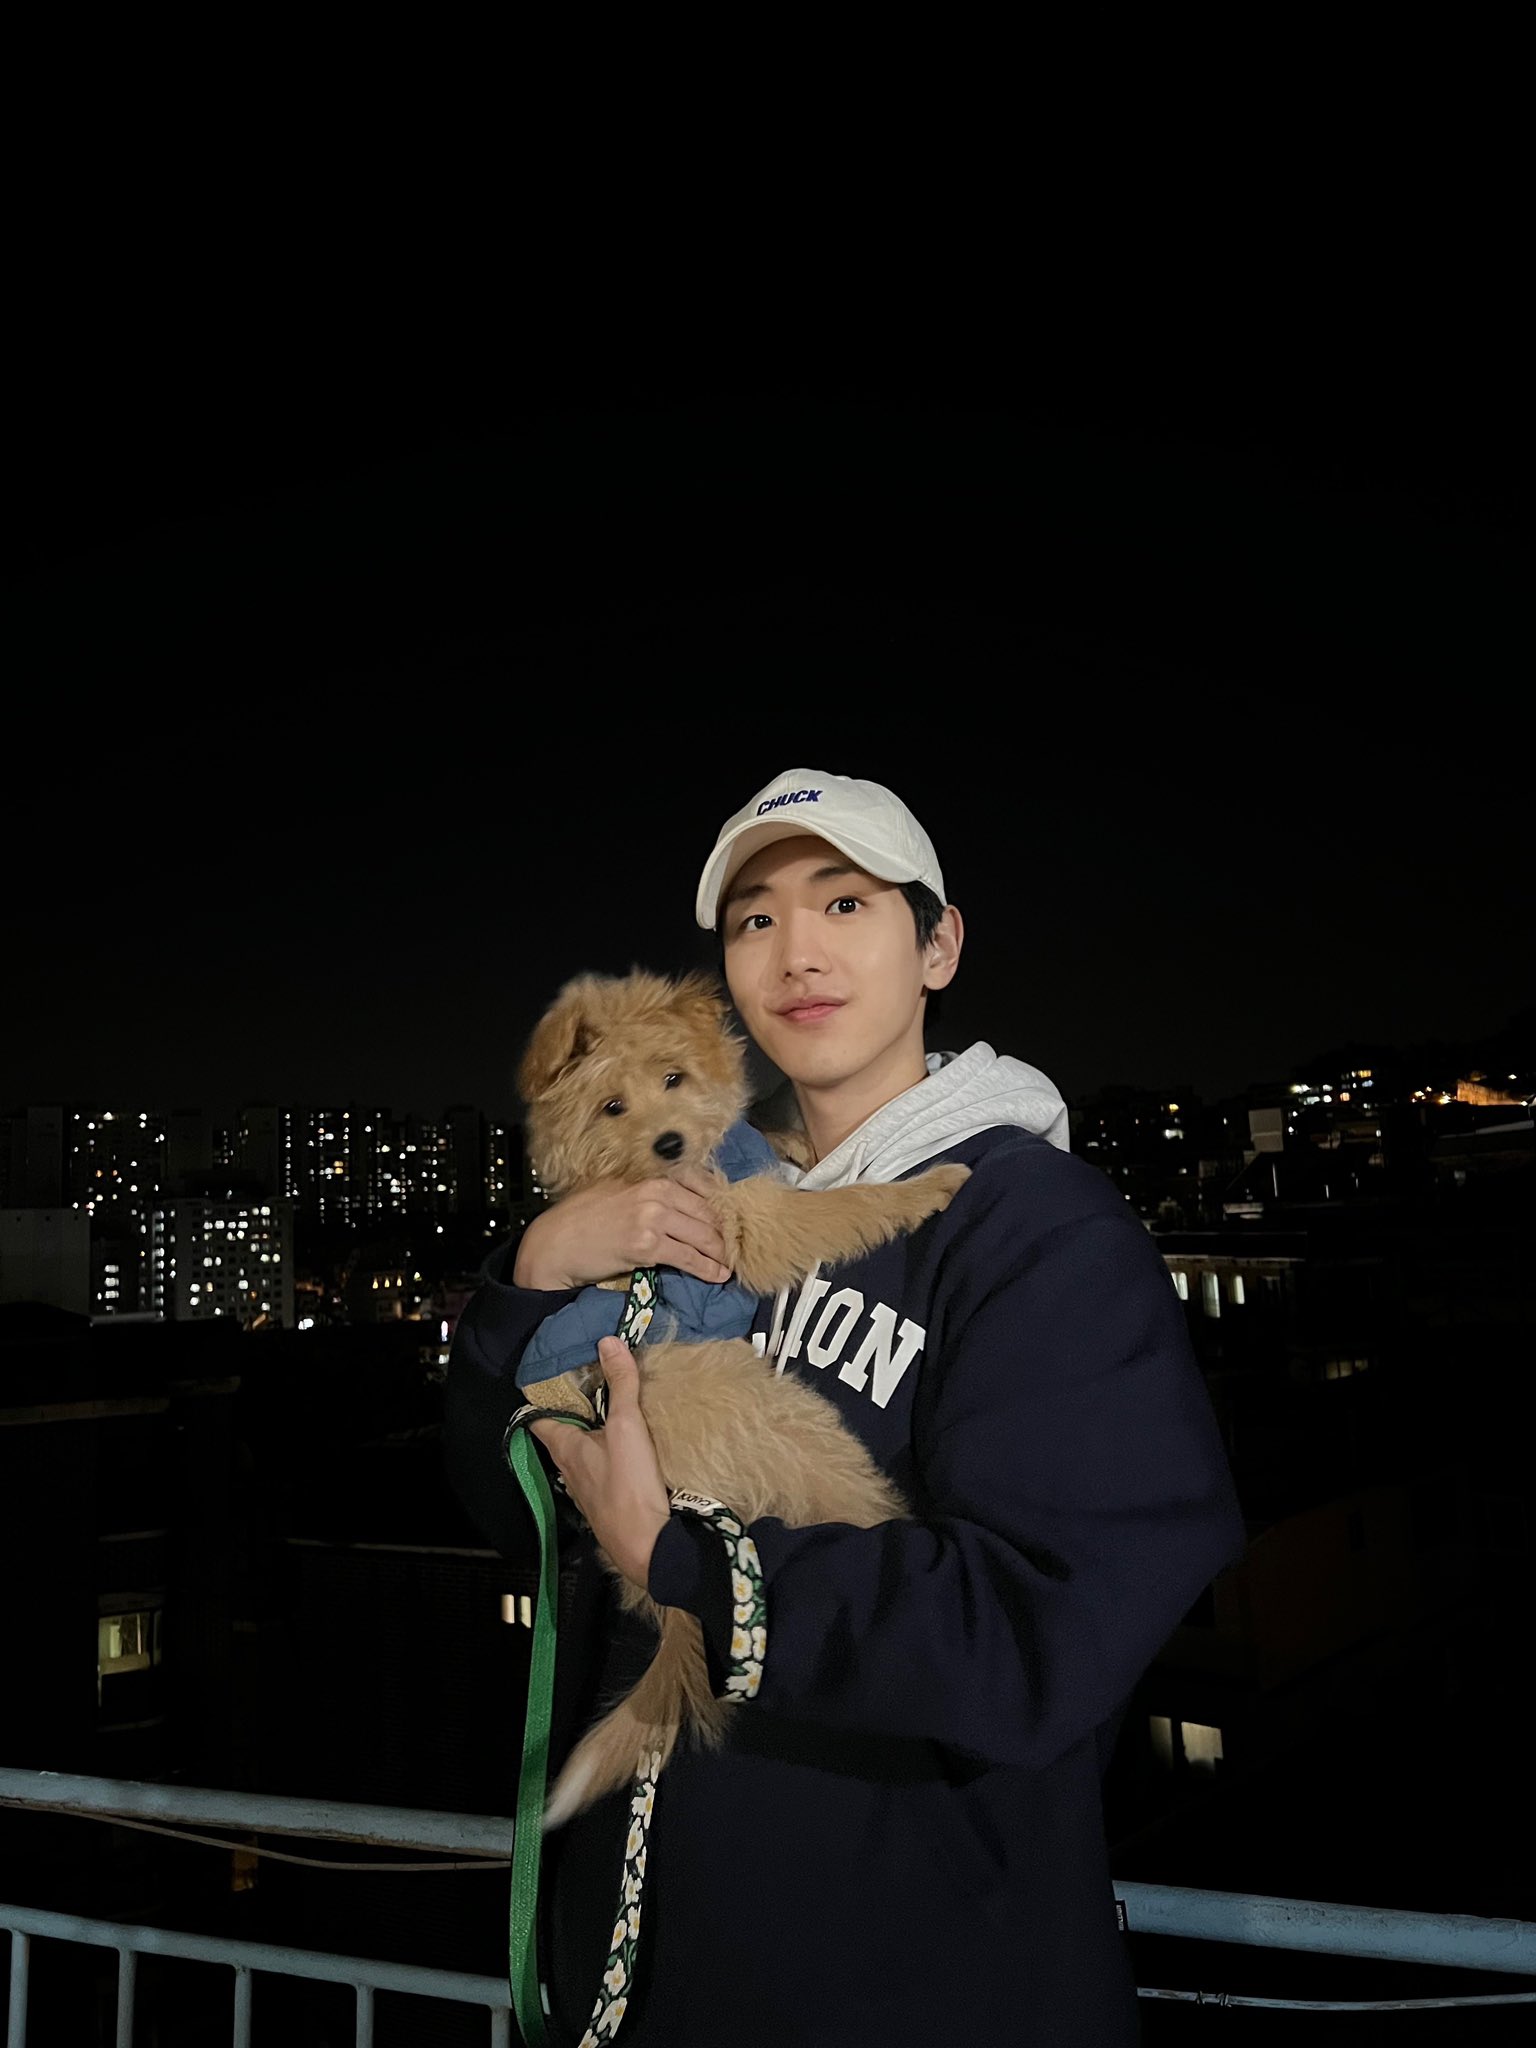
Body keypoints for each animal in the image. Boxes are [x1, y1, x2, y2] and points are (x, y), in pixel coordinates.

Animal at [514, 968, 970, 1826]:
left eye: (673, 1079)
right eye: (611, 1107)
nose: (669, 1144)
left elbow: (768, 1144)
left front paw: (788, 1138)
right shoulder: (745, 1224)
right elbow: (838, 1206)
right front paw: (928, 1186)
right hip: (795, 1433)